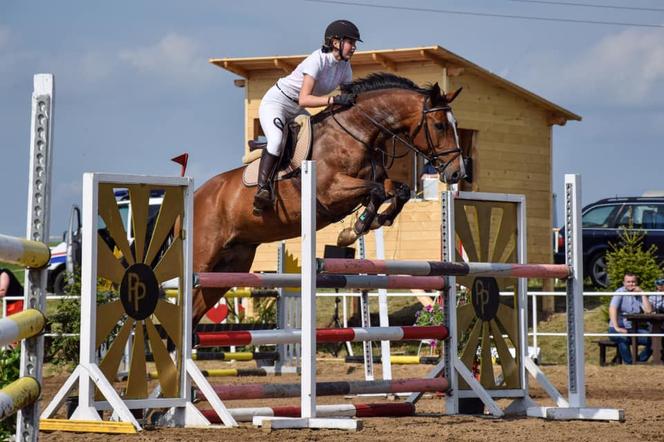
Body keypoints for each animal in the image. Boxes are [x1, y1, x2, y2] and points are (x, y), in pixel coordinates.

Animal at [193, 71, 466, 322]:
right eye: (440, 125)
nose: (457, 172)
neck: (356, 132)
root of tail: (196, 194)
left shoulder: (375, 180)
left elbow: (398, 191)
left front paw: (372, 223)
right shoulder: (330, 191)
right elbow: (377, 192)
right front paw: (354, 230)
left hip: (231, 265)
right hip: (203, 260)